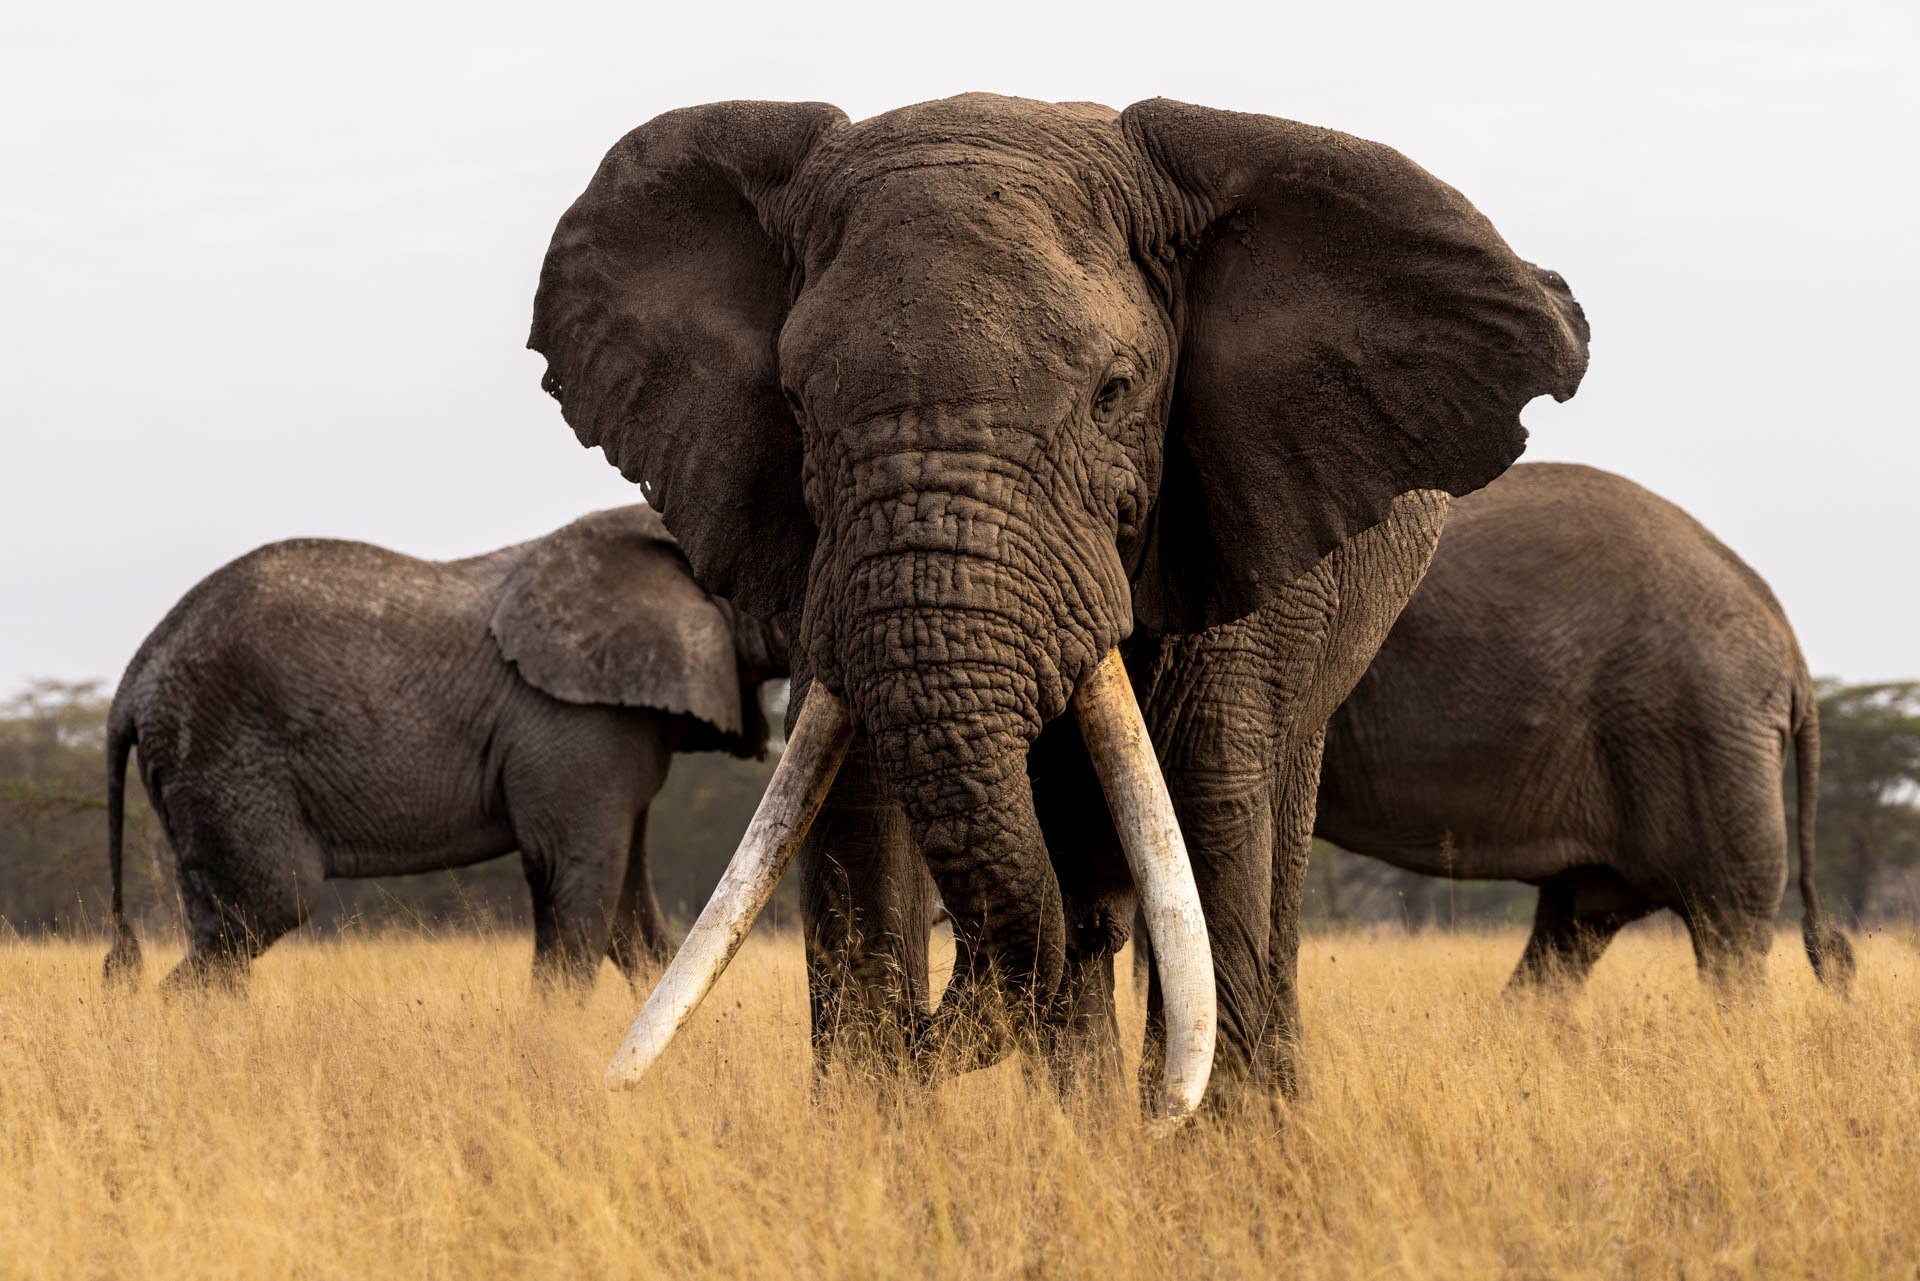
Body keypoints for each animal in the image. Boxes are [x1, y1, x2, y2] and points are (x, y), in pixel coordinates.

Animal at [102, 506, 787, 990]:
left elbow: (629, 916)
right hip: (221, 750)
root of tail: (132, 677)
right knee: (267, 906)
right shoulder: (571, 720)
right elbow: (576, 881)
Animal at [529, 93, 1588, 1117]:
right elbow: (854, 815)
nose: (925, 1033)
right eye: (793, 403)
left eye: (1113, 393)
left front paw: (1196, 1134)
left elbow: (1209, 807)